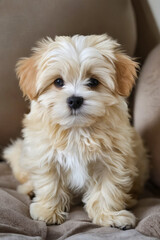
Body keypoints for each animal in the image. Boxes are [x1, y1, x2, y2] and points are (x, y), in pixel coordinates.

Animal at [3, 33, 149, 229]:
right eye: (58, 82)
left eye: (93, 82)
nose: (74, 100)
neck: (77, 130)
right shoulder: (45, 155)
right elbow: (49, 184)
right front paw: (47, 212)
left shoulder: (113, 161)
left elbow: (107, 190)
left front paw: (109, 216)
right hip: (21, 154)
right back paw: (29, 190)